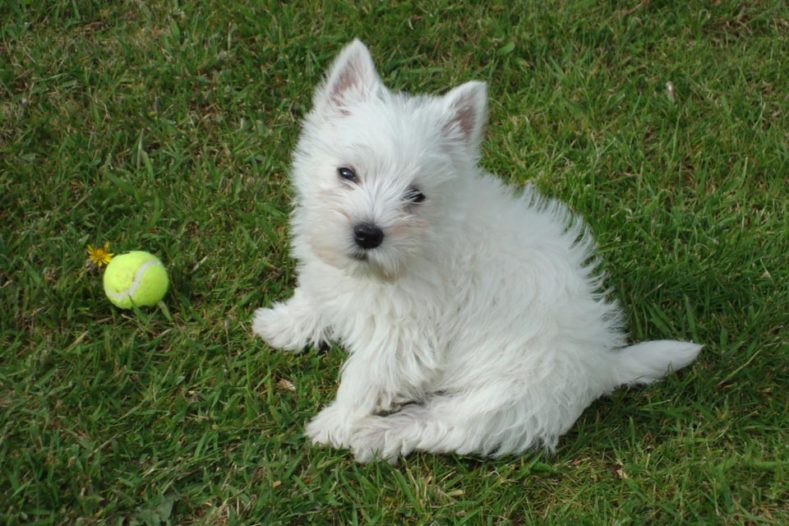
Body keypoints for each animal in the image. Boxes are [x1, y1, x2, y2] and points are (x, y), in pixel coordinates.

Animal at [254, 40, 700, 462]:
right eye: (346, 173)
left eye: (416, 195)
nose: (368, 233)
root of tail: (601, 365)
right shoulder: (332, 277)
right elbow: (315, 296)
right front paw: (281, 324)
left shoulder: (403, 340)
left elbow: (364, 381)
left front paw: (334, 424)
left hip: (499, 399)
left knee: (440, 426)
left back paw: (377, 436)